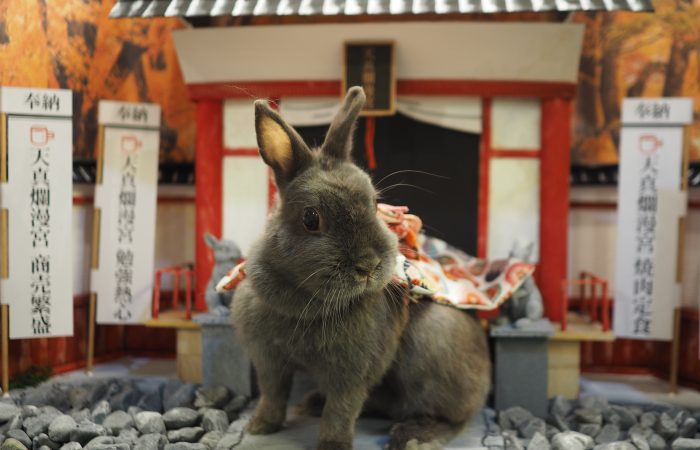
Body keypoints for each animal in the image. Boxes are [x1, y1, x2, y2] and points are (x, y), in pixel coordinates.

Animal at [232, 88, 490, 450]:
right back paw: (310, 404)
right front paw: (260, 426)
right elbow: (273, 395)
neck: (306, 302)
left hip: (435, 352)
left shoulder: (352, 371)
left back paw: (415, 436)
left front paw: (332, 445)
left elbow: (341, 410)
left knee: (453, 417)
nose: (368, 266)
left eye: (374, 204)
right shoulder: (269, 360)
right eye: (311, 218)